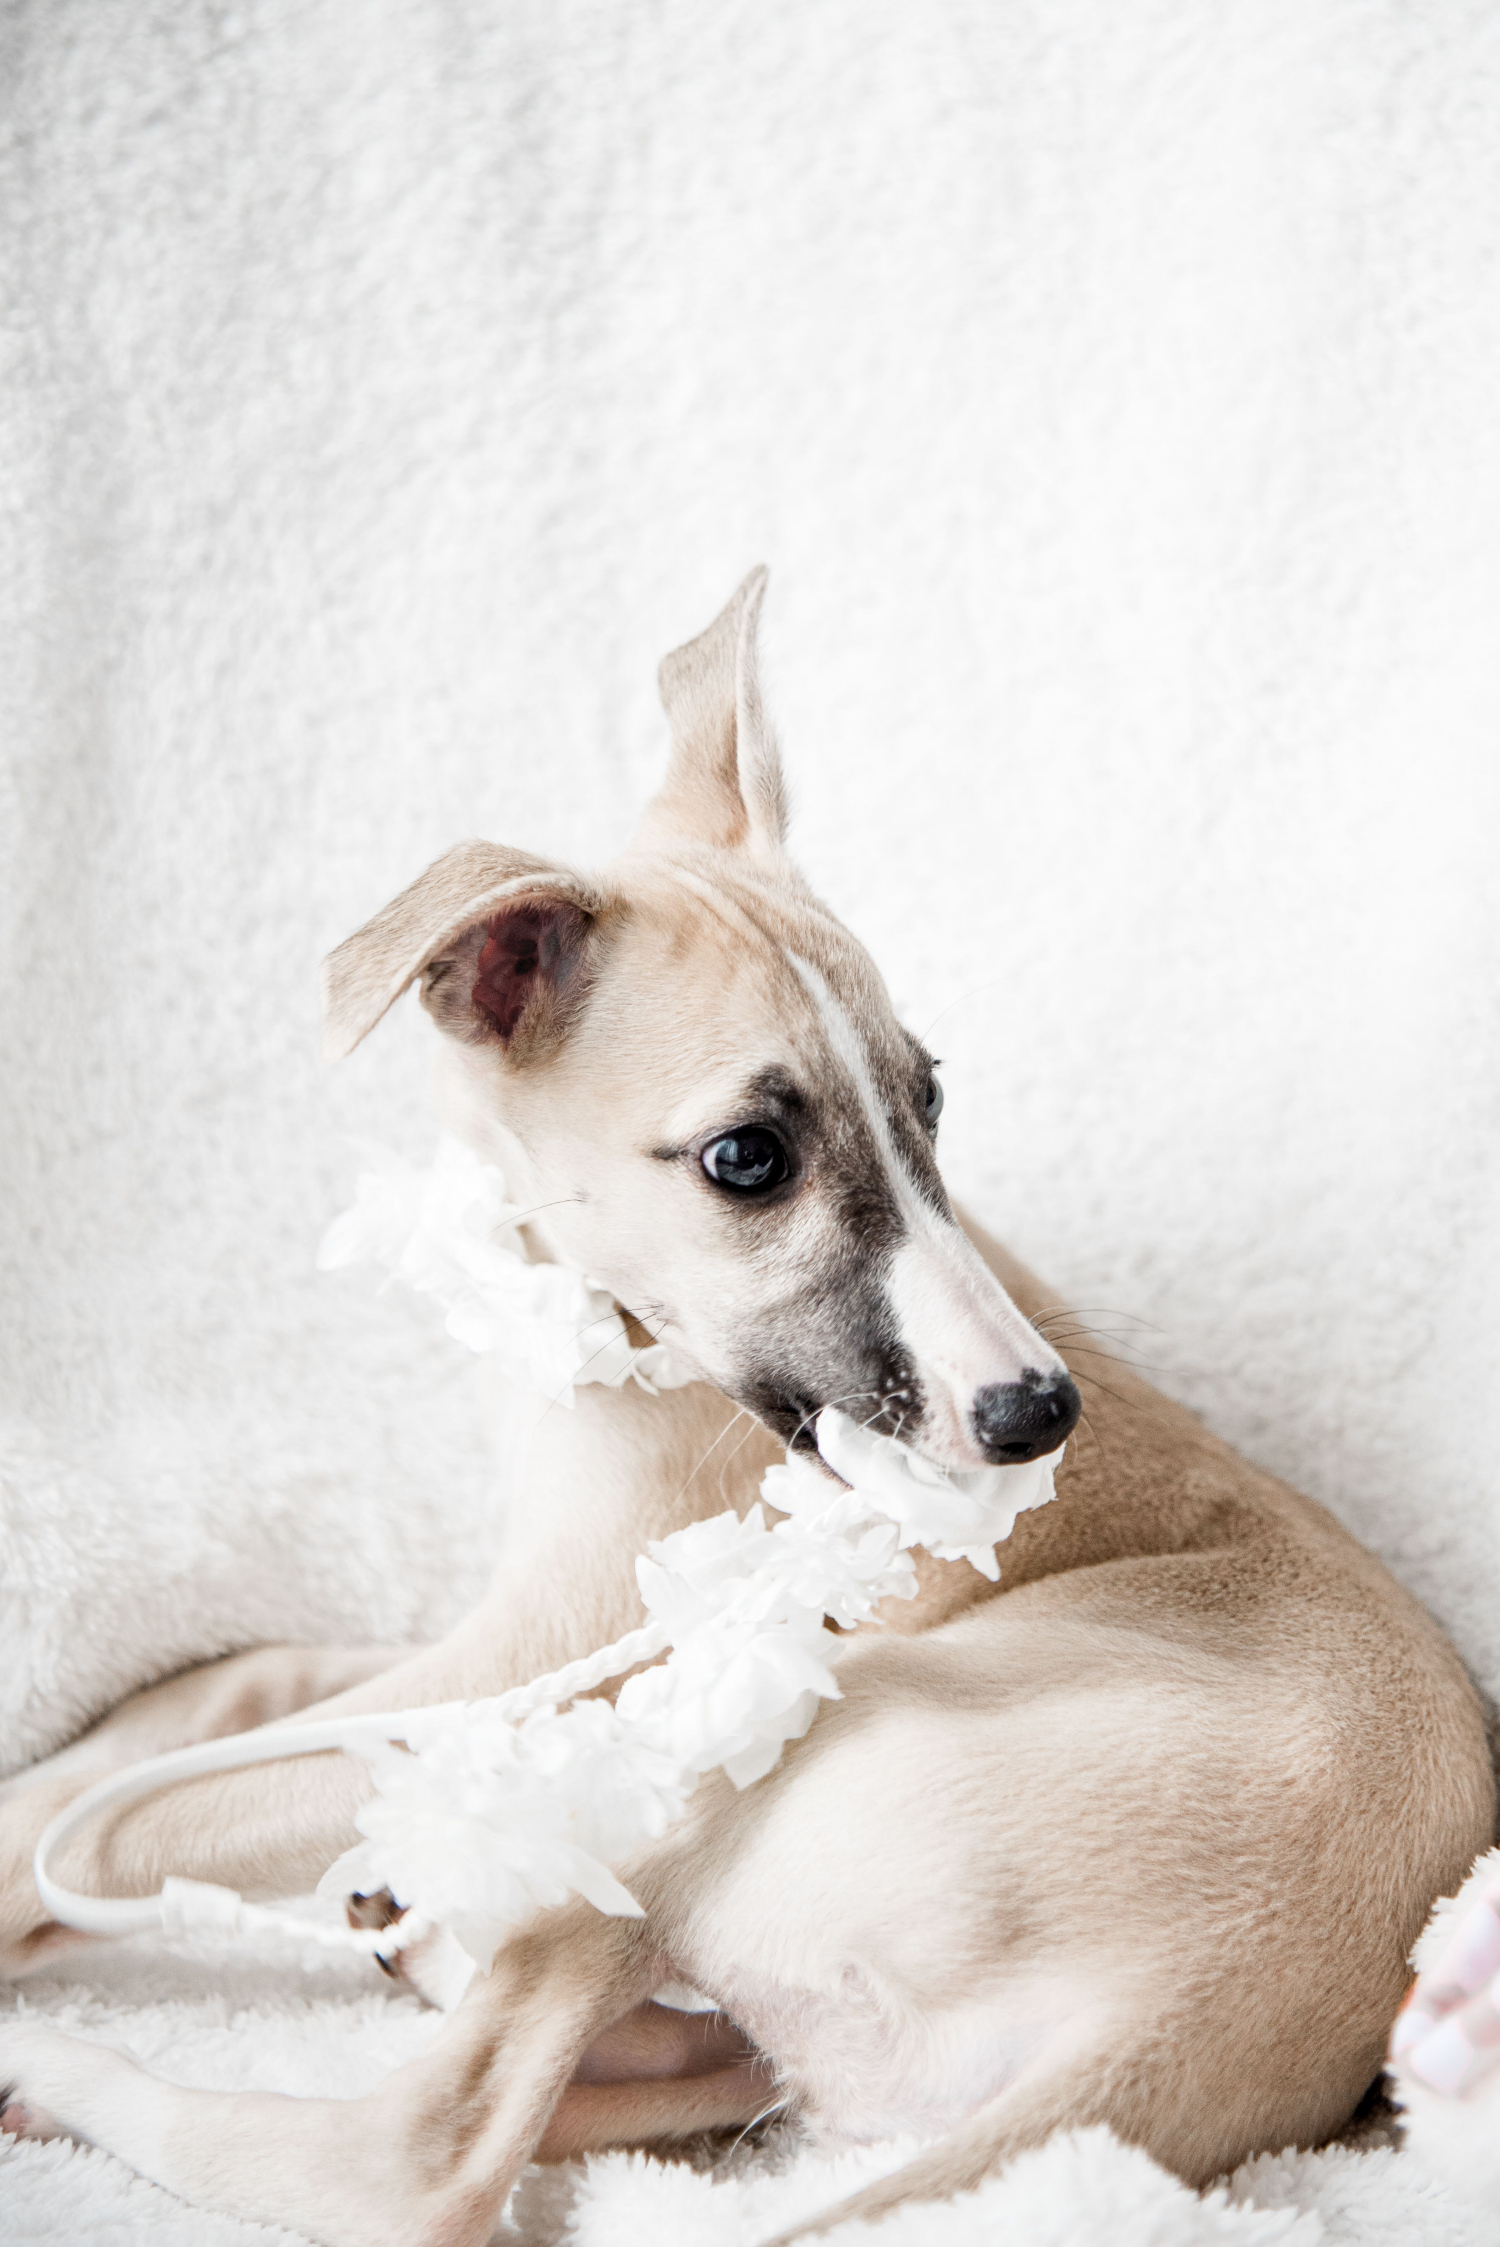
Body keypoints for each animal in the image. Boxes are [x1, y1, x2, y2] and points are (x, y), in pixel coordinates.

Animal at [0, 575, 1491, 2247]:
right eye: (745, 1156)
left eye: (928, 1095)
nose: (1037, 1413)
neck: (615, 1334)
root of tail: (1195, 2030)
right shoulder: (522, 1623)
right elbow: (237, 1683)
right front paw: (110, 1727)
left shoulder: (542, 1661)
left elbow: (138, 1813)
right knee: (657, 2066)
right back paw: (405, 1926)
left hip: (721, 1738)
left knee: (424, 2158)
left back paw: (80, 2065)